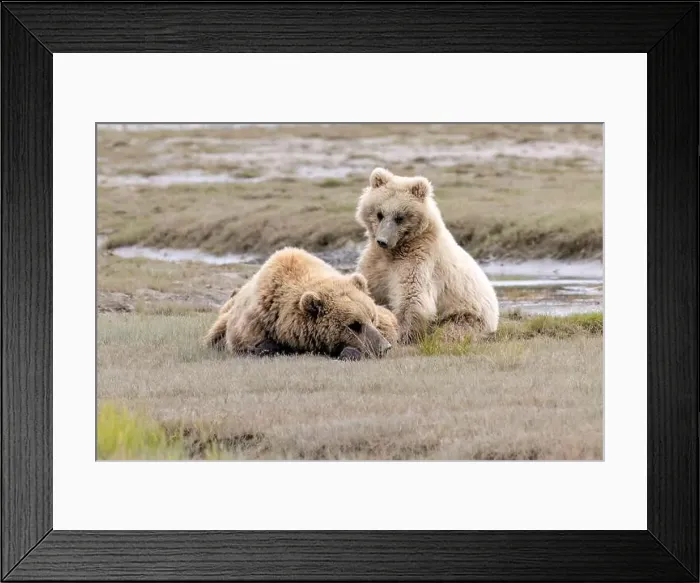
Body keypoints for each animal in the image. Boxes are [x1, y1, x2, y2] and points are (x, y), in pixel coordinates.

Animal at [354, 167, 499, 344]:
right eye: (379, 214)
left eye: (399, 217)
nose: (382, 241)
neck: (395, 250)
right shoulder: (376, 263)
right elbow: (369, 287)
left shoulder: (418, 260)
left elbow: (412, 298)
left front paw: (401, 335)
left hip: (467, 316)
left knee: (450, 331)